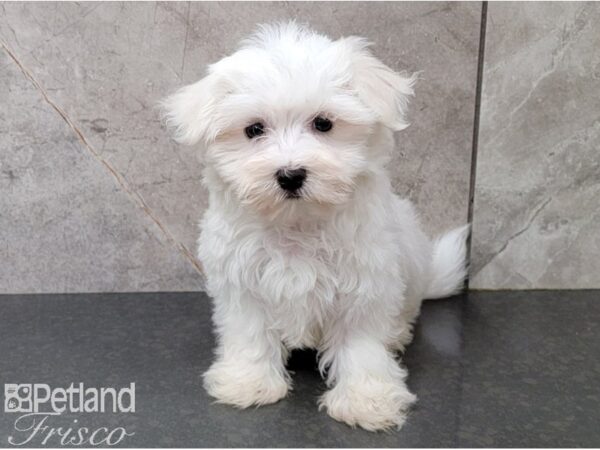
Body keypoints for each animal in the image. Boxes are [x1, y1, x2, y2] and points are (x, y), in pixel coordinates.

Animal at [163, 22, 468, 432]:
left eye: (323, 124)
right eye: (254, 129)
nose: (290, 175)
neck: (298, 223)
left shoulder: (364, 283)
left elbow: (361, 343)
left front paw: (366, 399)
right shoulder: (242, 282)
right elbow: (250, 332)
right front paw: (249, 382)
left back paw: (397, 333)